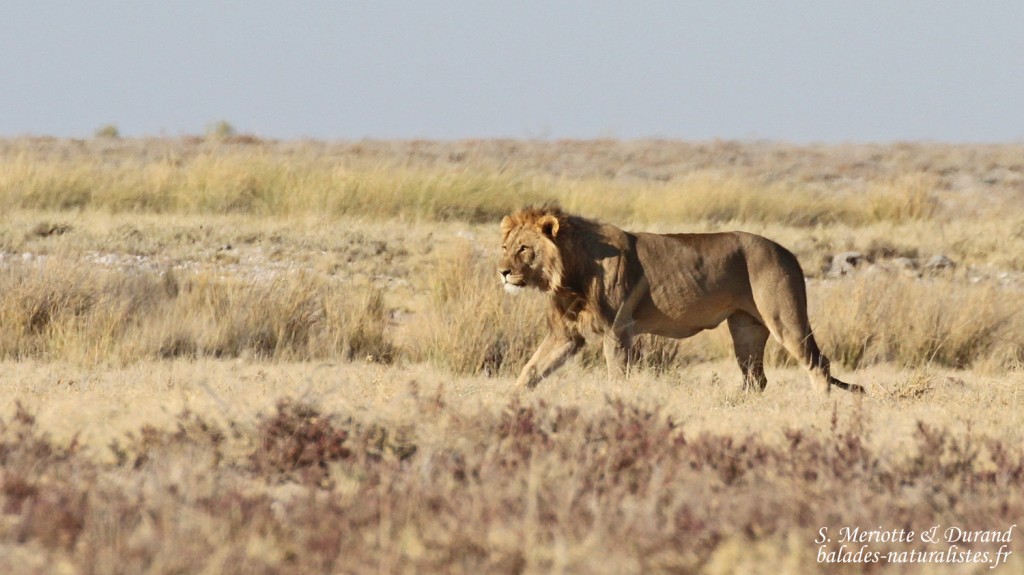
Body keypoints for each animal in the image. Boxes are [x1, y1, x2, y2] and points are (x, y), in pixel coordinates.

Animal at [498, 205, 863, 394]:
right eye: (505, 247)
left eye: (524, 249)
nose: (502, 272)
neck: (566, 276)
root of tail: (788, 252)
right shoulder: (566, 334)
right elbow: (531, 370)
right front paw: (511, 404)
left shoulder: (618, 331)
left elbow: (617, 376)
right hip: (746, 327)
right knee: (756, 378)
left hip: (783, 318)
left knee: (817, 363)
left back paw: (820, 408)